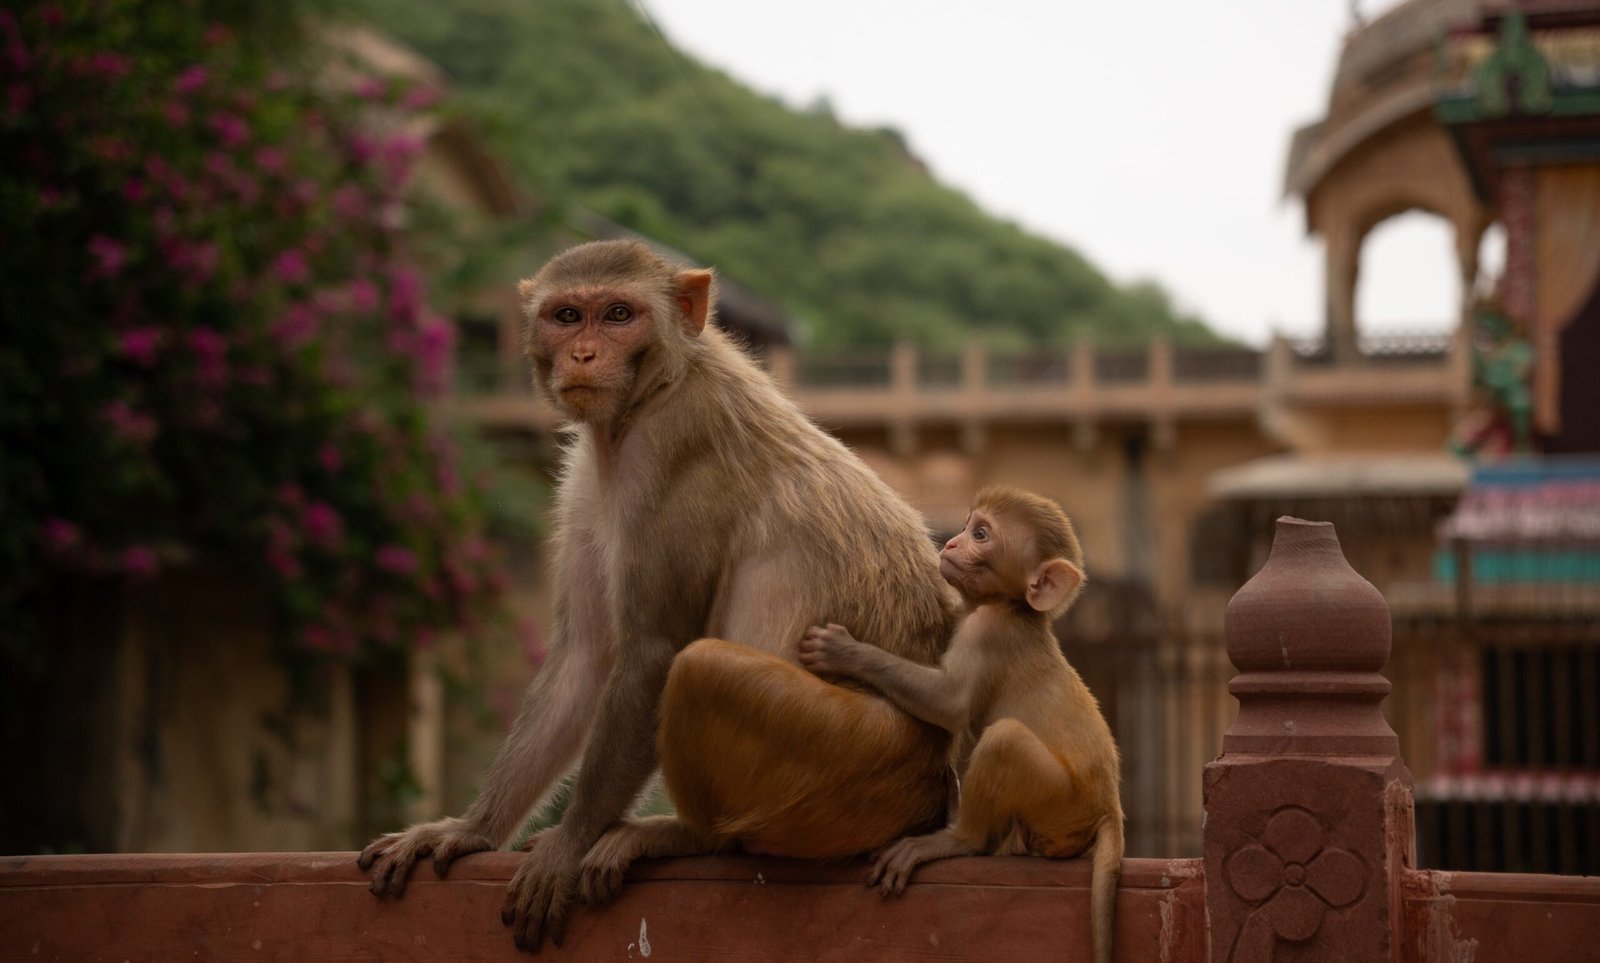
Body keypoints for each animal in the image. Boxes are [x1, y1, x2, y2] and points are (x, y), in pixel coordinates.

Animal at [357, 239, 960, 952]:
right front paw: (468, 830)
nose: (584, 354)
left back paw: (684, 836)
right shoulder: (585, 480)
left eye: (619, 314)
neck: (646, 399)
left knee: (700, 669)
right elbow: (586, 655)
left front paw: (567, 844)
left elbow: (652, 652)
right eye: (568, 315)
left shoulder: (674, 453)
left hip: (855, 761)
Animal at [798, 485, 1124, 963]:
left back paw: (957, 839)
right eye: (969, 526)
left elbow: (949, 704)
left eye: (981, 535)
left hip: (1061, 801)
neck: (1006, 605)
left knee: (1004, 740)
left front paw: (845, 652)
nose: (951, 544)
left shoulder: (987, 632)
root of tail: (1108, 807)